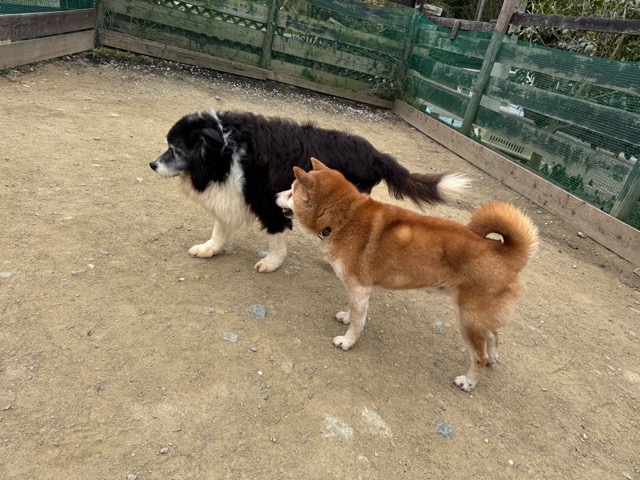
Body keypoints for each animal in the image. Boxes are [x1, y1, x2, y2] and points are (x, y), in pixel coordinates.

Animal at [149, 109, 469, 273]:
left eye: (175, 150)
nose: (152, 164)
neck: (224, 150)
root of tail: (376, 154)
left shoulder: (268, 201)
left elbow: (276, 236)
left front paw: (272, 263)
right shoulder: (232, 195)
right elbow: (219, 228)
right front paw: (209, 248)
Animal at [276, 158, 539, 391]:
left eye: (291, 192)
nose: (275, 195)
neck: (345, 217)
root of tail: (504, 252)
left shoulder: (360, 288)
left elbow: (358, 322)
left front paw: (347, 341)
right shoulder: (358, 291)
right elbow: (354, 312)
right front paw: (346, 317)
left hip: (468, 319)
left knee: (479, 356)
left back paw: (469, 382)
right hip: (479, 316)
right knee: (493, 336)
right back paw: (493, 358)